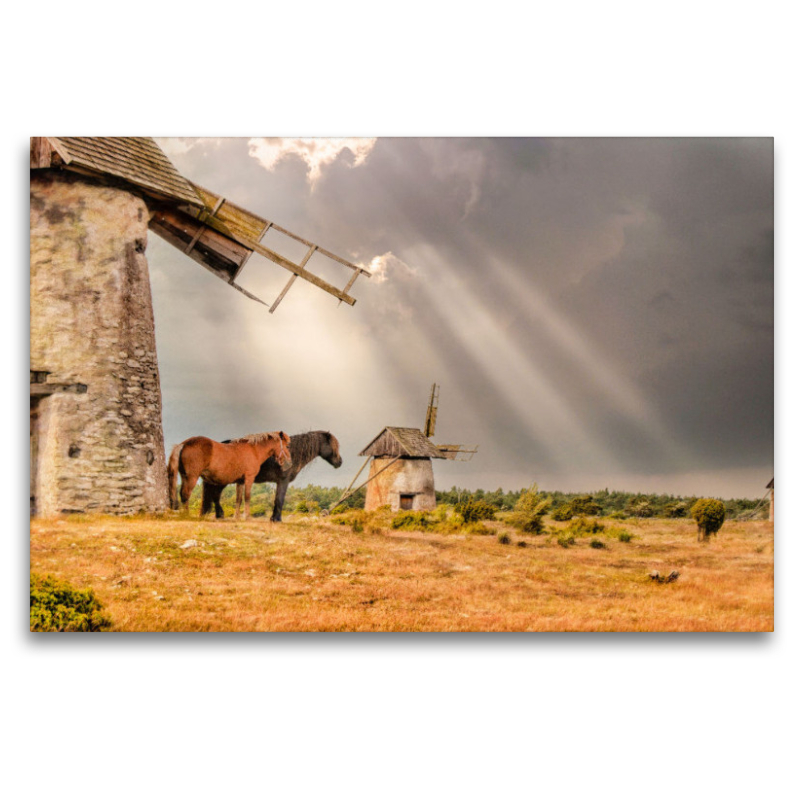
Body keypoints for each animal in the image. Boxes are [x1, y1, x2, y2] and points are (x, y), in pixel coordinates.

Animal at [202, 434, 342, 520]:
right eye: (334, 445)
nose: (340, 462)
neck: (292, 454)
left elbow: (276, 500)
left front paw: (273, 518)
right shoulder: (283, 481)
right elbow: (280, 500)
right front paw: (277, 519)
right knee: (215, 495)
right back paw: (220, 515)